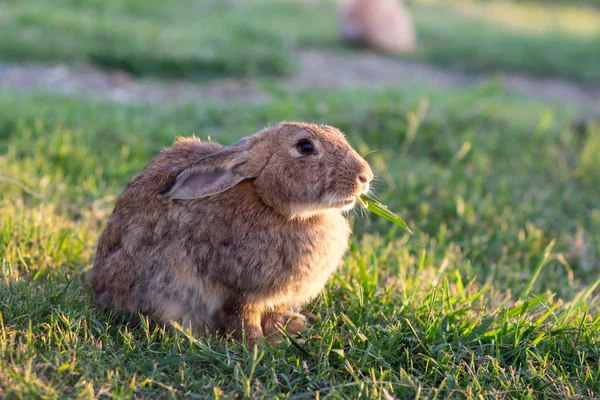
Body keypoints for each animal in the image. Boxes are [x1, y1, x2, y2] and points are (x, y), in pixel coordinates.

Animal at [86, 122, 372, 344]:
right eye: (305, 147)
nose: (365, 176)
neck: (271, 204)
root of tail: (99, 285)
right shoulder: (238, 291)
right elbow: (244, 318)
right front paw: (257, 347)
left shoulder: (277, 299)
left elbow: (273, 318)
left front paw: (281, 338)